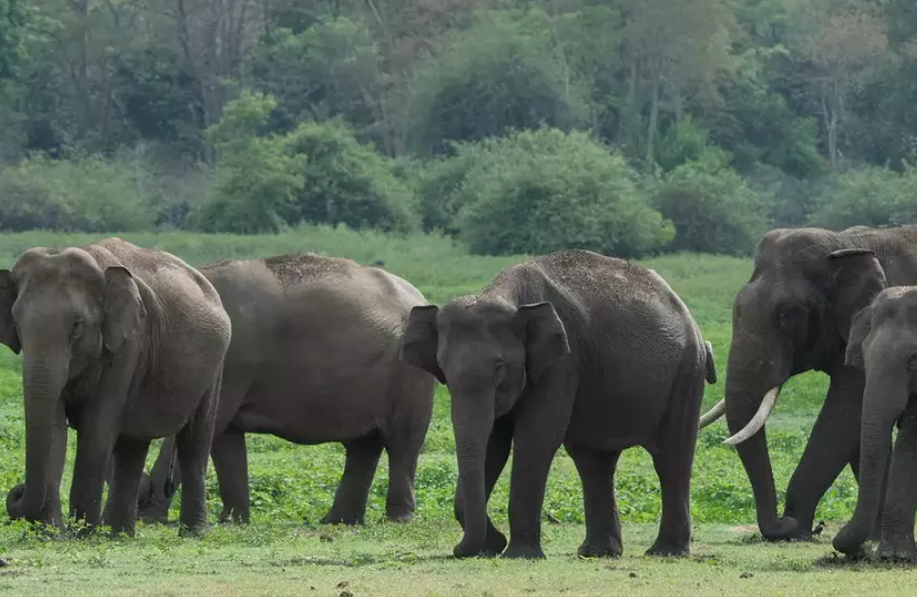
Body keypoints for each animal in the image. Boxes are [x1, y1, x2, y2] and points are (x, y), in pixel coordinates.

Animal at [0, 237, 231, 537]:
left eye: (77, 326)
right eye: (17, 324)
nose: (17, 491)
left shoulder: (128, 344)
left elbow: (97, 428)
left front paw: (83, 534)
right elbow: (54, 428)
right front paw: (51, 534)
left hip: (216, 366)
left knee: (194, 442)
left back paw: (193, 533)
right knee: (132, 446)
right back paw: (118, 533)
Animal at [134, 252, 437, 526]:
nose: (143, 506)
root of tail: (418, 296)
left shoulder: (230, 363)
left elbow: (209, 426)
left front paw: (154, 518)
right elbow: (224, 435)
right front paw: (233, 522)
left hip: (410, 375)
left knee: (402, 442)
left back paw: (396, 520)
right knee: (364, 444)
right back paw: (337, 521)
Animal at [400, 249, 715, 559]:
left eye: (500, 368)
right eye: (443, 368)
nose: (459, 550)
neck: (506, 295)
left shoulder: (563, 362)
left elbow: (537, 436)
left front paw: (518, 554)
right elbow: (493, 444)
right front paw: (493, 546)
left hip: (686, 376)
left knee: (671, 458)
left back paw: (664, 552)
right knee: (593, 460)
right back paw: (598, 552)